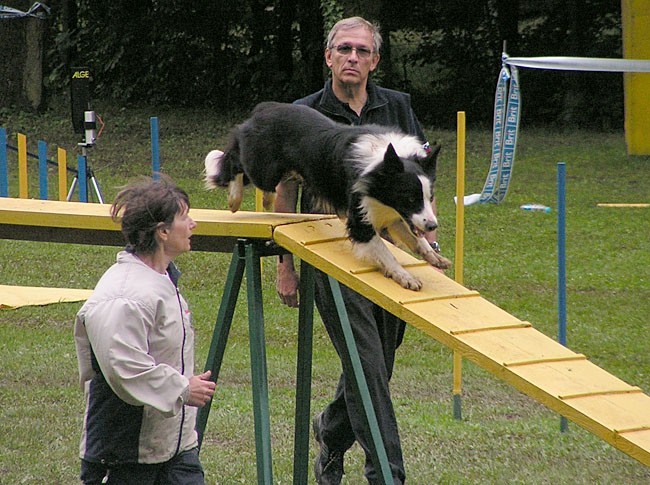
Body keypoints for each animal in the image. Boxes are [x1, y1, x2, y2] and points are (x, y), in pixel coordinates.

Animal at [205, 101, 448, 290]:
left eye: (429, 197)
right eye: (410, 198)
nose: (433, 226)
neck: (378, 167)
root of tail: (263, 108)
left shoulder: (391, 210)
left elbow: (413, 236)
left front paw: (433, 256)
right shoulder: (359, 216)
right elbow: (383, 250)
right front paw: (405, 276)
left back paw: (266, 199)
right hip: (263, 169)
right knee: (235, 160)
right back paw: (235, 199)